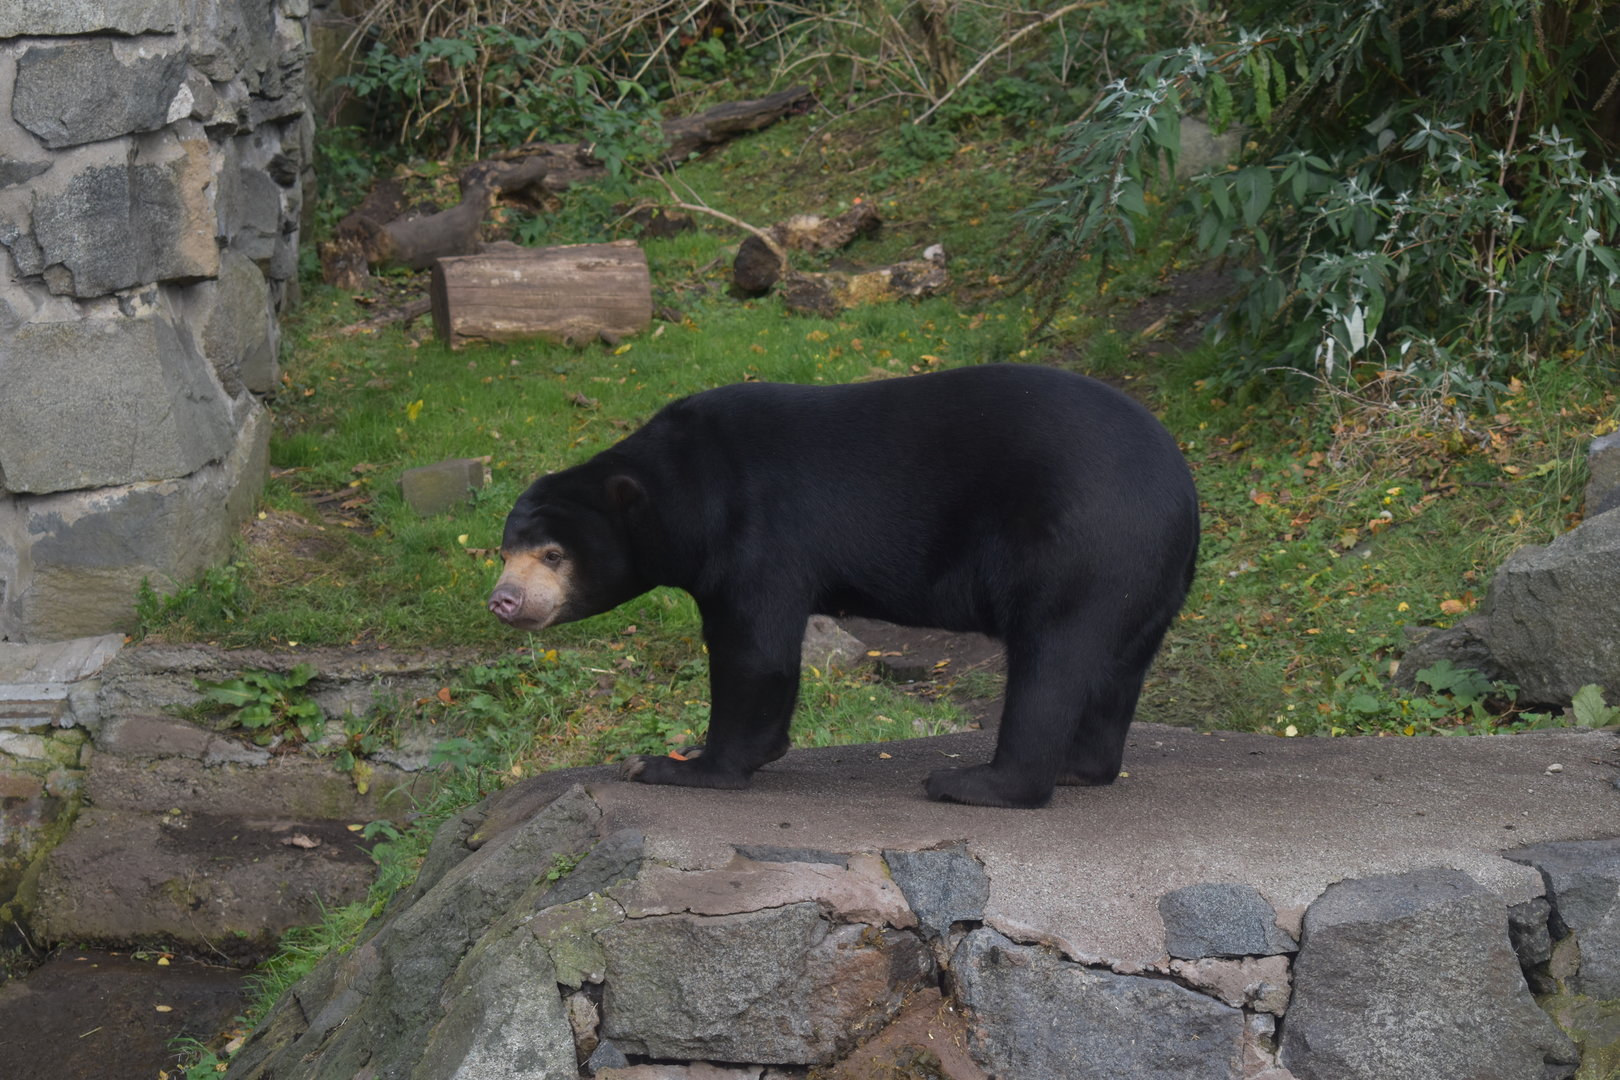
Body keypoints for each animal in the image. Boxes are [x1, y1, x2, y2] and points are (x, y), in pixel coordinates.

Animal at [488, 363, 1199, 808]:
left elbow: (755, 652)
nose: (505, 599)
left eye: (553, 555)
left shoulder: (760, 533)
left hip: (1081, 548)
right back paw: (1081, 768)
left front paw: (674, 765)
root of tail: (1182, 490)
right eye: (504, 551)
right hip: (1142, 580)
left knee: (1052, 663)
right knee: (1117, 669)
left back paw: (971, 782)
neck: (688, 487)